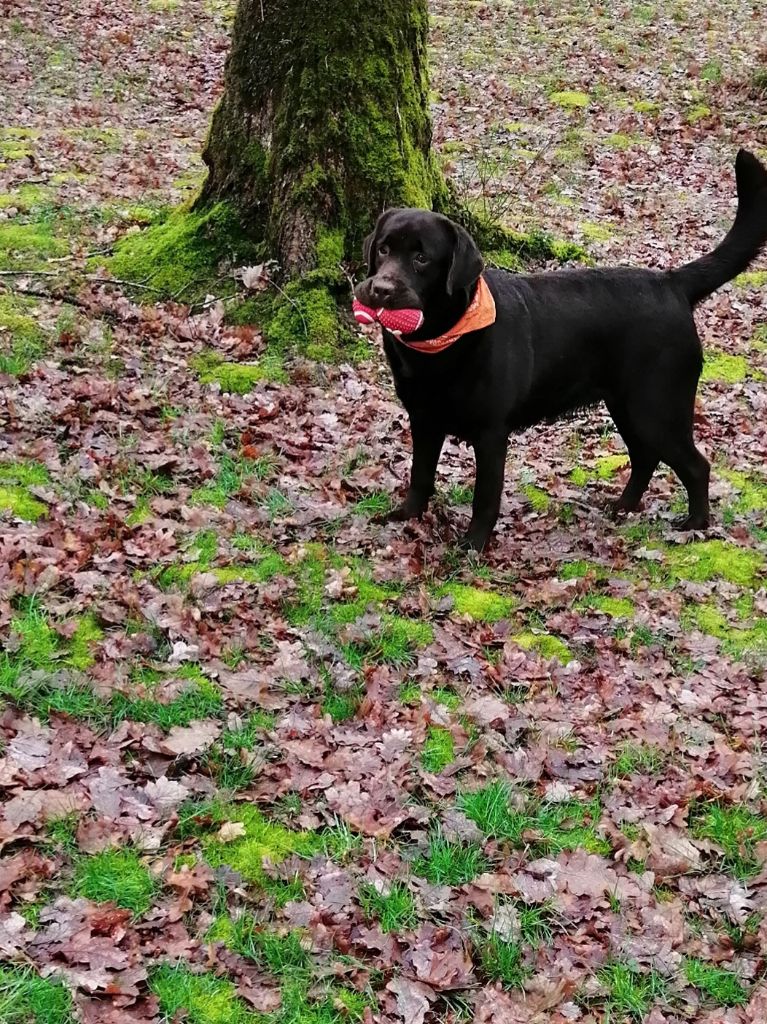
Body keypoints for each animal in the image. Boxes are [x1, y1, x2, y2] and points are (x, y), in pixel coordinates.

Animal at [356, 149, 765, 552]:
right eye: (384, 249)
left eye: (422, 258)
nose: (380, 289)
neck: (441, 341)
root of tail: (672, 282)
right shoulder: (424, 418)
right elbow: (419, 474)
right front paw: (406, 516)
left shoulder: (491, 433)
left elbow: (485, 496)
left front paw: (473, 545)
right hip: (626, 406)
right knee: (645, 457)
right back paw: (623, 506)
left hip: (658, 408)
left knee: (695, 465)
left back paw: (695, 525)